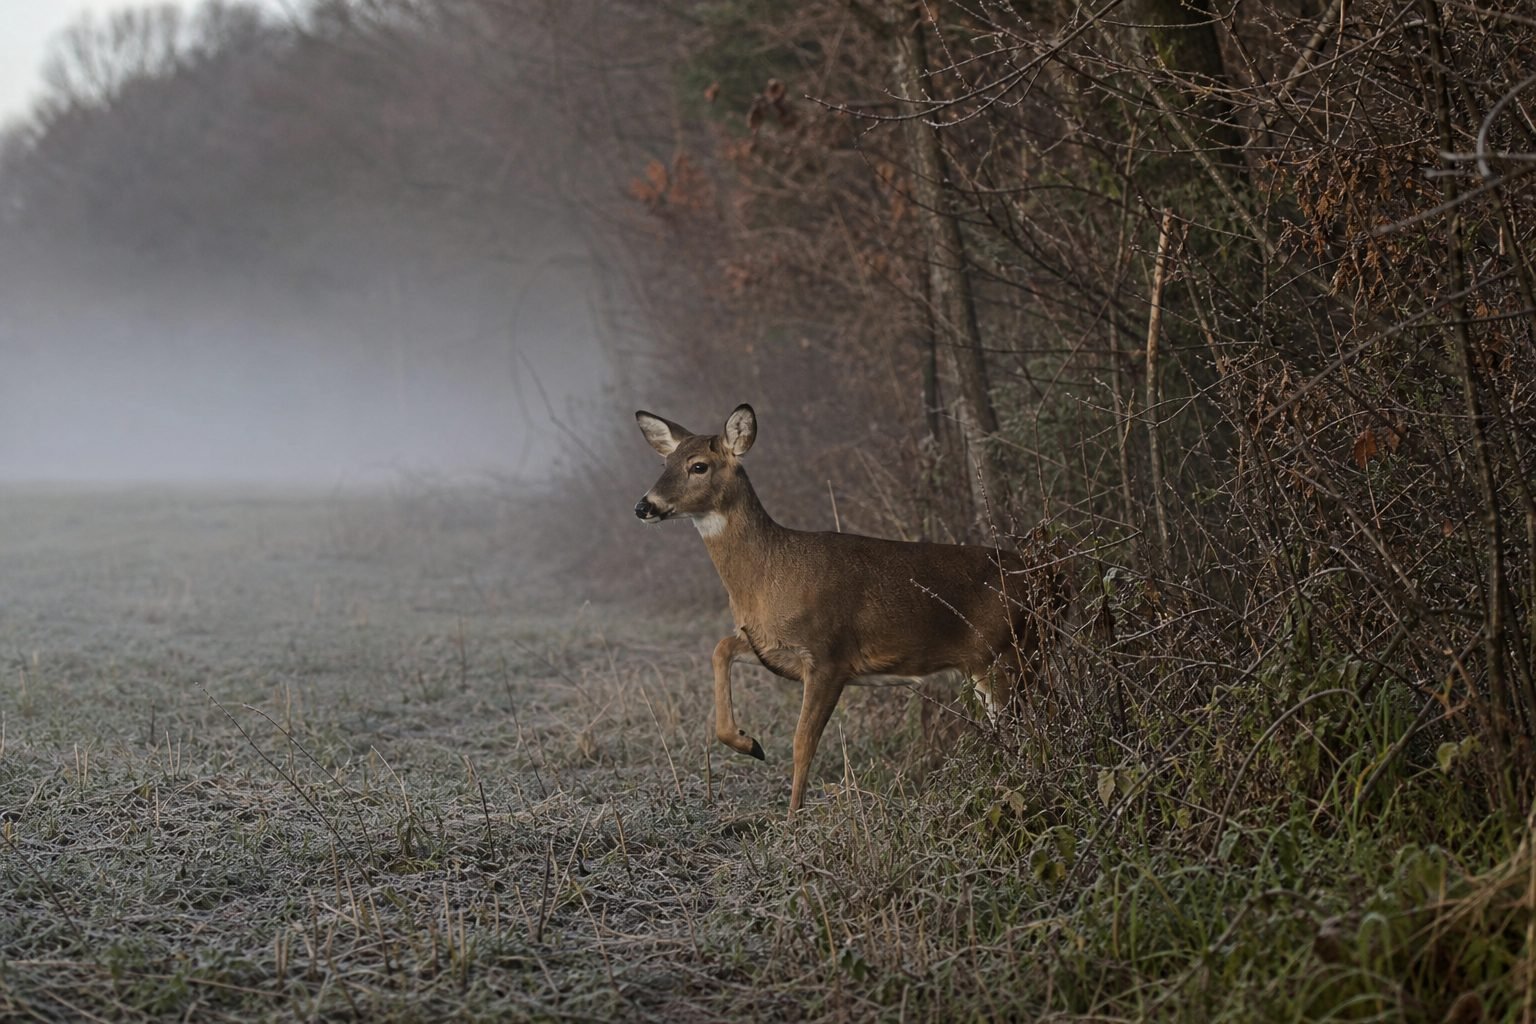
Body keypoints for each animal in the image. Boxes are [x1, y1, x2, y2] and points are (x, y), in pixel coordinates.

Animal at [632, 403, 1056, 813]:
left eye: (698, 466)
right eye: (666, 463)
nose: (644, 506)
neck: (768, 574)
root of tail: (1051, 578)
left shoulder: (828, 656)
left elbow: (803, 743)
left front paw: (793, 821)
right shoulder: (771, 647)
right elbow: (721, 649)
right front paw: (748, 742)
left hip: (1007, 654)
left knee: (1034, 728)